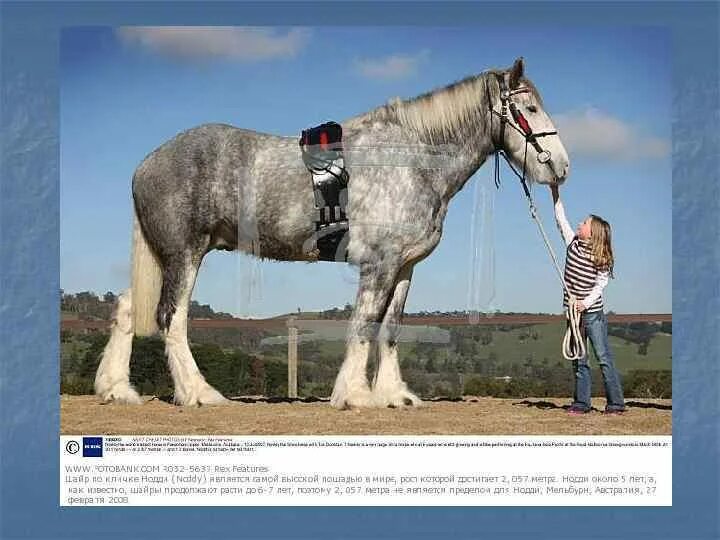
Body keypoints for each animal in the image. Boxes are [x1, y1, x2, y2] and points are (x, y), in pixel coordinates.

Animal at [94, 58, 568, 410]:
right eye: (528, 109)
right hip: (185, 254)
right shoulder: (378, 263)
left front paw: (394, 395)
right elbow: (363, 324)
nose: (561, 167)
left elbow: (389, 328)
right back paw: (198, 393)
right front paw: (355, 395)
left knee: (127, 307)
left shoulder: (404, 266)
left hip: (161, 256)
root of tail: (147, 164)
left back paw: (117, 389)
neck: (411, 157)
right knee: (171, 317)